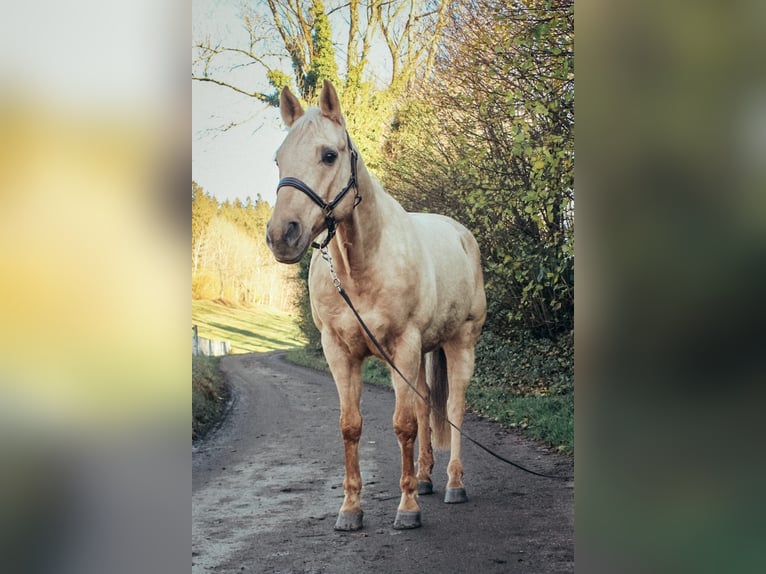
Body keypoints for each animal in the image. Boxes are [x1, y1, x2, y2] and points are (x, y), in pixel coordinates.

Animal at [268, 79, 488, 532]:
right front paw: (351, 509)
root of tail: (462, 234)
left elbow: (403, 426)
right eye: (279, 159)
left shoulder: (402, 345)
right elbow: (351, 426)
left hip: (460, 344)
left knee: (453, 408)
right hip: (423, 353)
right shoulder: (340, 352)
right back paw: (425, 478)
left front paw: (407, 508)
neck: (361, 265)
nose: (282, 235)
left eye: (329, 154)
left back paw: (454, 483)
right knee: (424, 404)